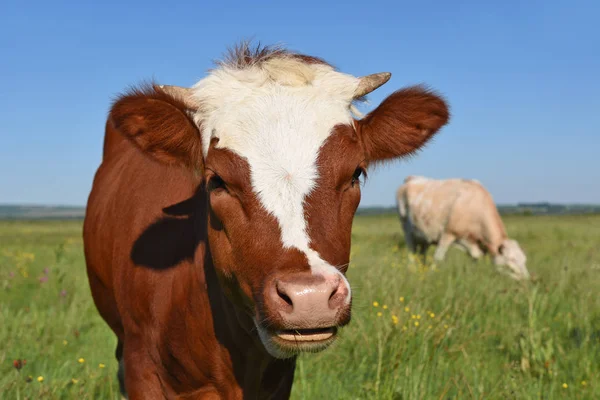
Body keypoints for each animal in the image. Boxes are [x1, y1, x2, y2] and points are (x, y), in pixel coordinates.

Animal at [398, 177, 528, 280]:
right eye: (511, 260)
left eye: (524, 260)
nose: (527, 279)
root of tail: (411, 178)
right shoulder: (448, 234)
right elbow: (438, 258)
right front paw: (431, 275)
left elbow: (475, 260)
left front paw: (472, 277)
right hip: (407, 230)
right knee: (411, 252)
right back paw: (412, 270)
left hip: (424, 236)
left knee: (421, 254)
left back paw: (421, 268)